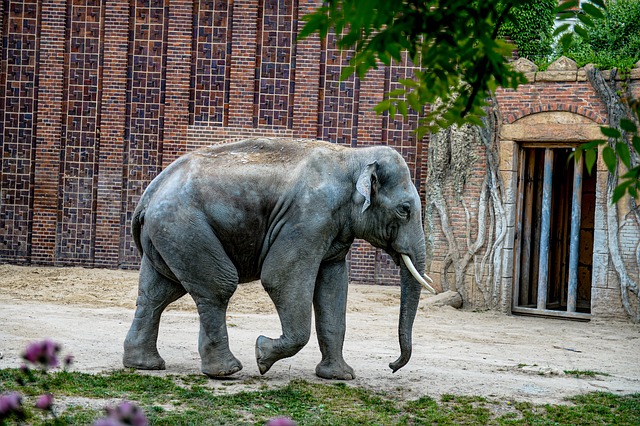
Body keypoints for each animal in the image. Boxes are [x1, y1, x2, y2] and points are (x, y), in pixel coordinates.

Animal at [122, 136, 432, 380]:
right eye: (404, 210)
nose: (391, 365)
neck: (352, 157)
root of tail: (149, 193)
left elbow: (333, 289)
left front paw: (340, 377)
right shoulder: (308, 218)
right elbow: (280, 277)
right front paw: (262, 355)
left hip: (167, 235)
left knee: (158, 292)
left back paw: (144, 365)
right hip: (184, 227)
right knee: (218, 287)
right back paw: (226, 372)